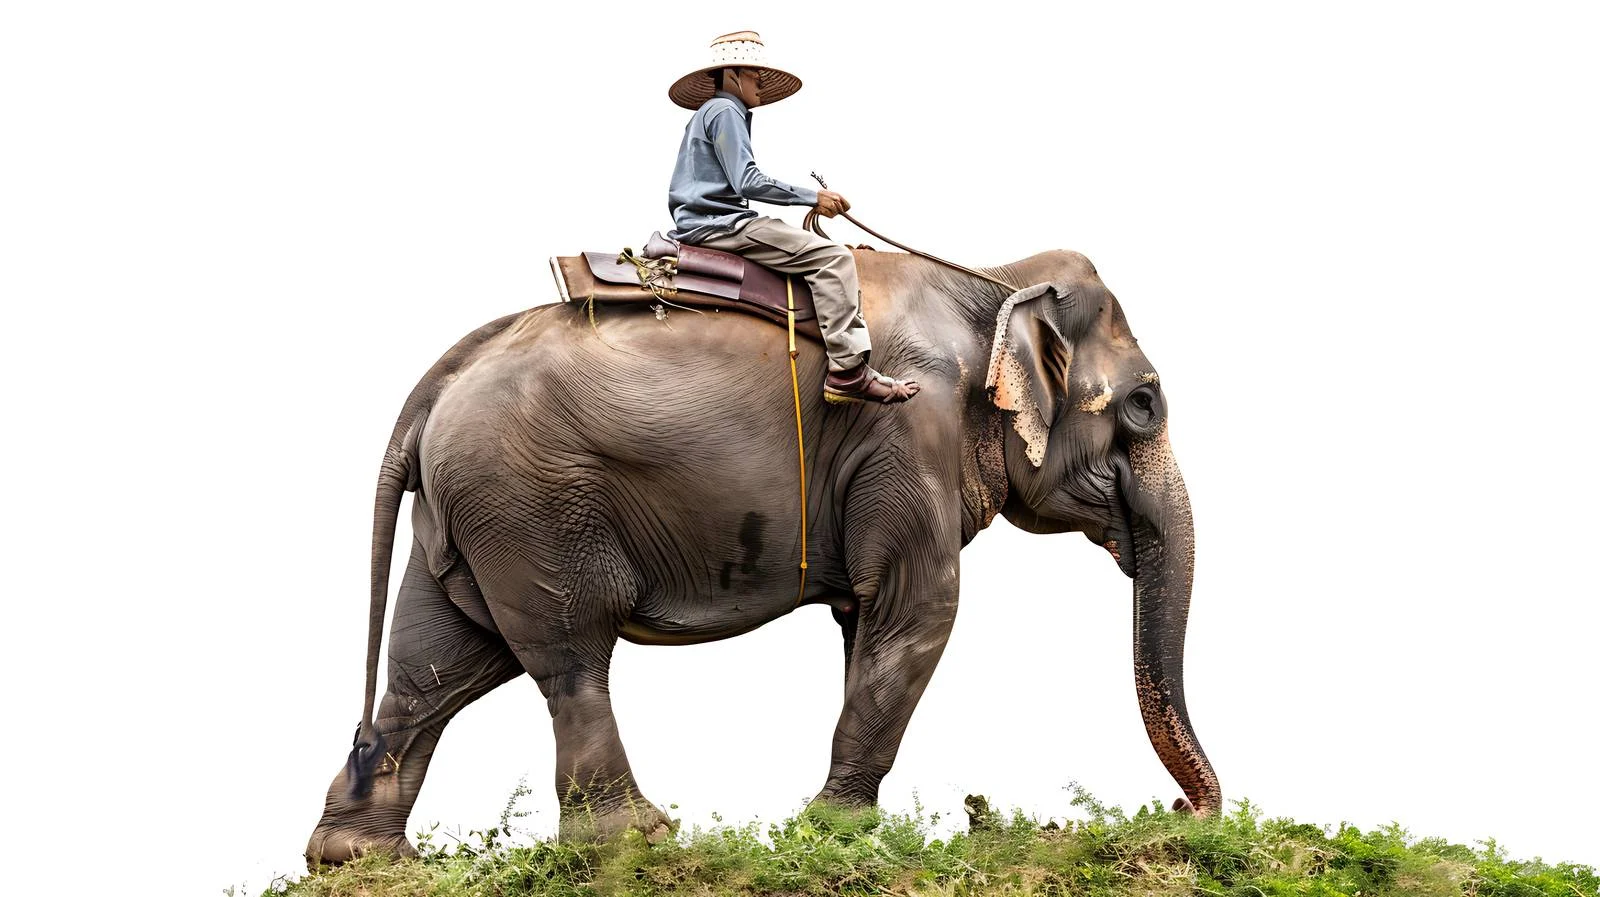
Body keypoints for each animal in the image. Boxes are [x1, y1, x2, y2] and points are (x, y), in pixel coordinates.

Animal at [305, 246, 1220, 866]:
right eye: (1144, 404)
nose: (1181, 810)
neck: (993, 279)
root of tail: (434, 385)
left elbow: (867, 620)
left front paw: (838, 826)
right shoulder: (908, 429)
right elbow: (922, 606)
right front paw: (831, 830)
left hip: (469, 509)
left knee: (440, 660)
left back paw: (362, 861)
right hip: (530, 501)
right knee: (567, 653)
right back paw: (634, 842)